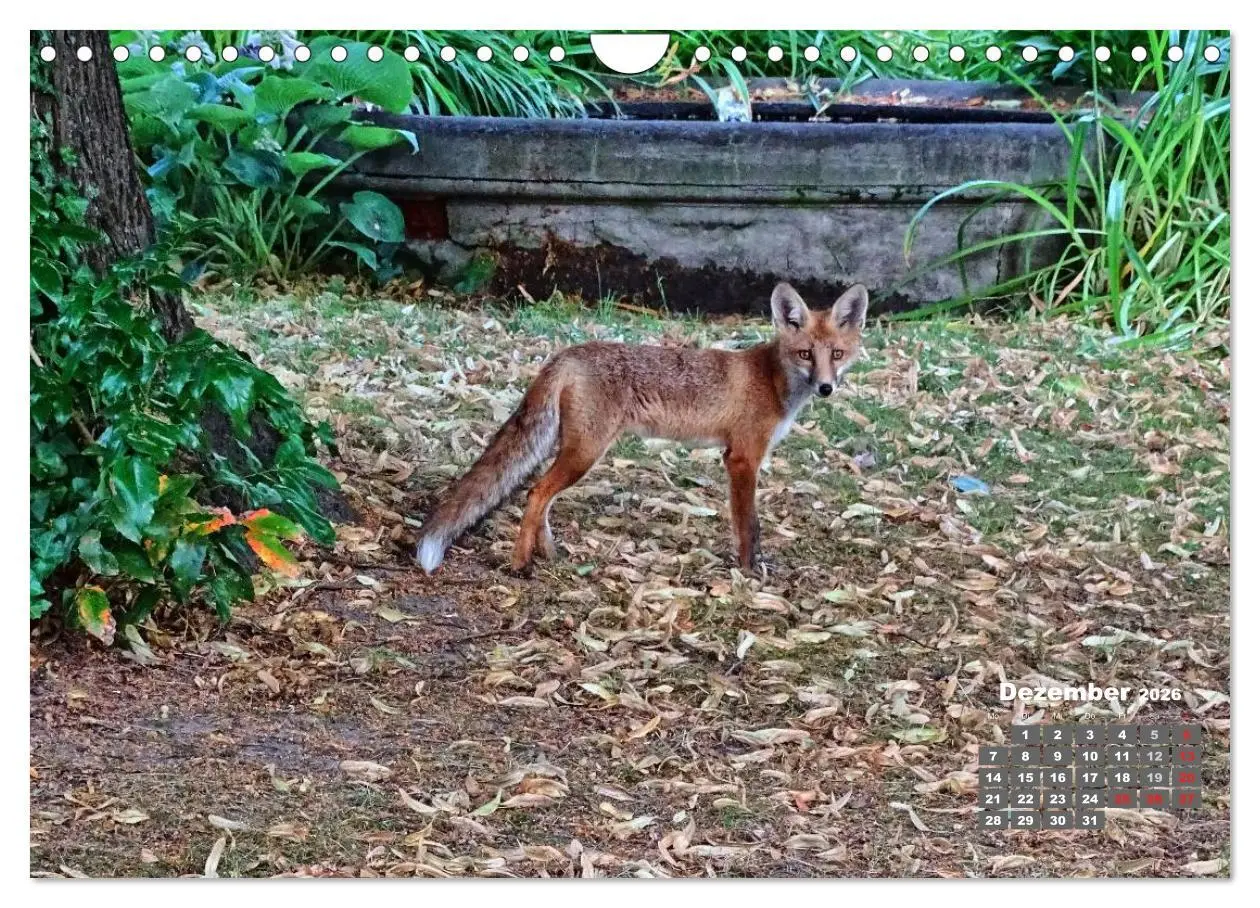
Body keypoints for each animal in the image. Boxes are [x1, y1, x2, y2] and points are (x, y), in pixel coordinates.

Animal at [415, 281, 868, 574]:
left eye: (837, 354)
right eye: (805, 354)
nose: (826, 388)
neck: (772, 382)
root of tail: (566, 353)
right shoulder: (742, 458)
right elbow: (748, 526)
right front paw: (749, 573)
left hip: (571, 449)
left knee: (539, 496)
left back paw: (549, 554)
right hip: (585, 452)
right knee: (537, 493)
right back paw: (520, 564)